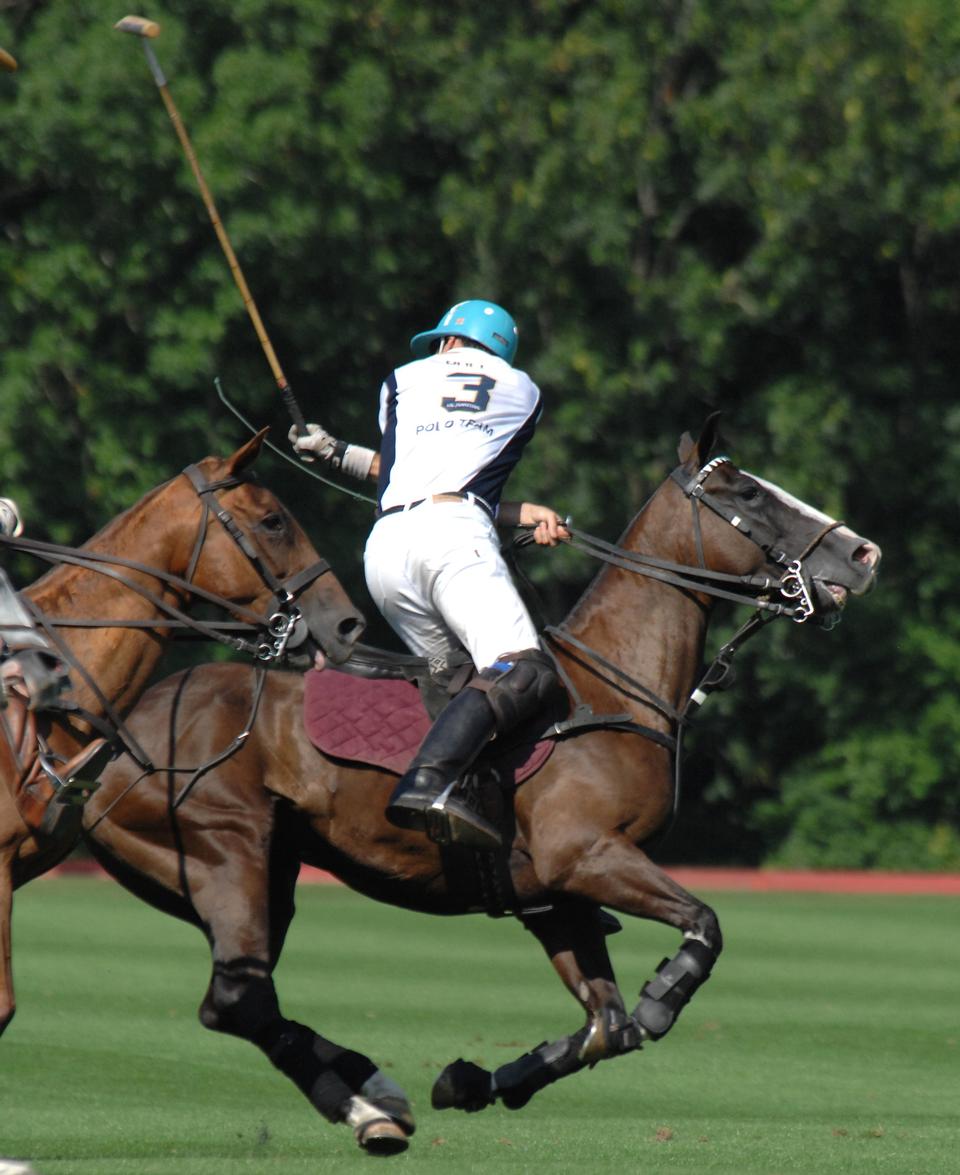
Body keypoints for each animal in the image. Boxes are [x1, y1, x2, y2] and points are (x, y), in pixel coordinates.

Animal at [86, 422, 878, 1156]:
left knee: (237, 1001)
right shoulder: (586, 856)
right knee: (238, 997)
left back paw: (377, 1090)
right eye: (746, 492)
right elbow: (702, 928)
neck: (610, 686)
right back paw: (370, 1105)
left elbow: (606, 1026)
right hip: (226, 853)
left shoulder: (555, 898)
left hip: (268, 871)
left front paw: (473, 1081)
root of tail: (112, 738)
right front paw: (663, 996)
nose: (864, 553)